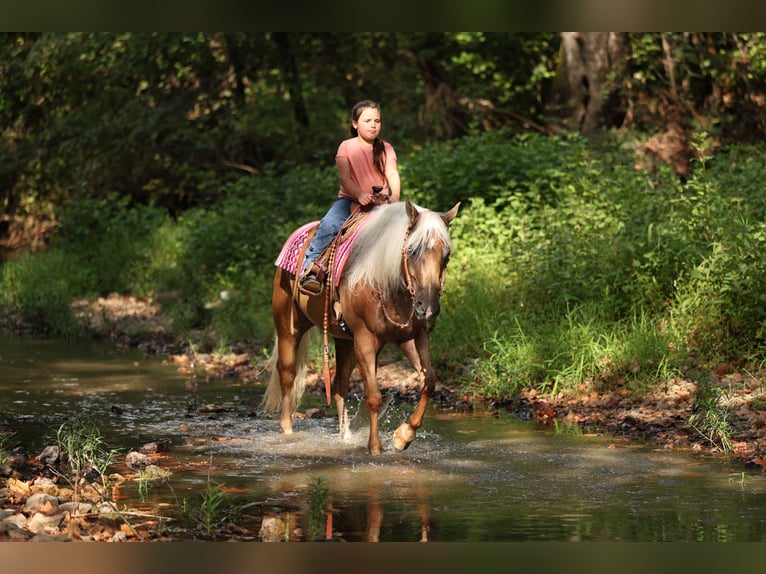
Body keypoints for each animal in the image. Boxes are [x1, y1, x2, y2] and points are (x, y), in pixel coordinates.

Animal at [261, 199, 460, 454]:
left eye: (447, 254)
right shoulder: (365, 340)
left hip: (344, 341)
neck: (386, 283)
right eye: (412, 251)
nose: (427, 308)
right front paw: (375, 448)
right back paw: (288, 431)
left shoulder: (413, 336)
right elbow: (373, 397)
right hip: (289, 328)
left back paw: (344, 438)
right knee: (287, 374)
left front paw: (403, 436)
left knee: (339, 386)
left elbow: (429, 381)